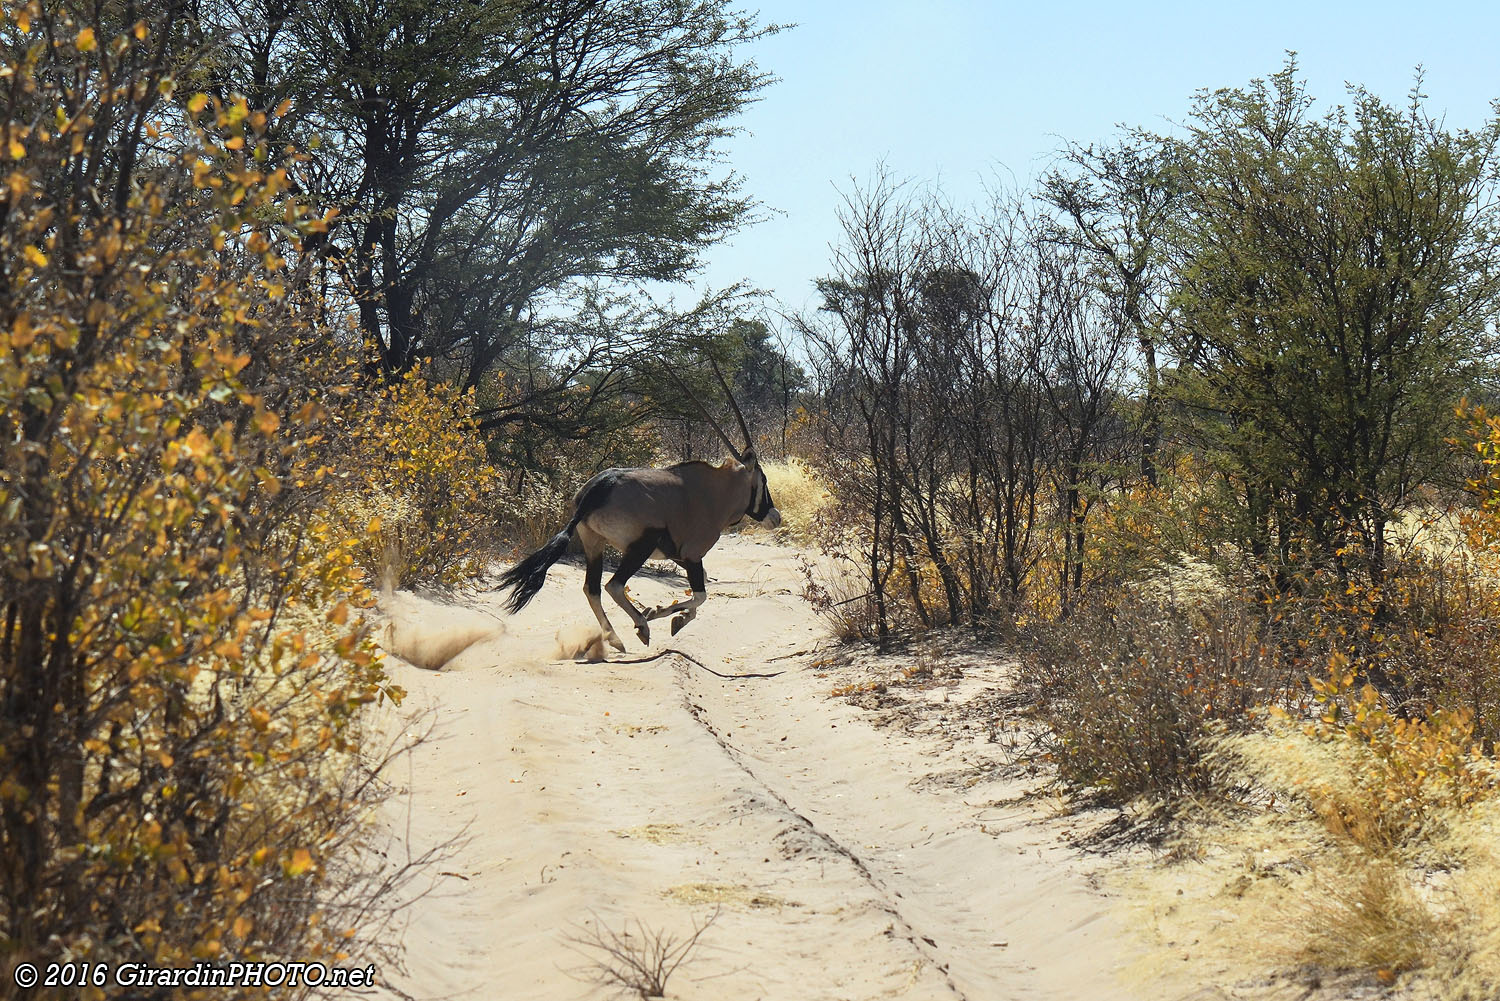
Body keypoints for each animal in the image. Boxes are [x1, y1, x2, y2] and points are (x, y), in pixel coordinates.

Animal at [504, 364, 786, 654]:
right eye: (763, 481)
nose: (775, 517)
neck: (716, 491)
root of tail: (601, 486)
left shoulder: (679, 555)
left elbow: (701, 592)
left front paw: (676, 618)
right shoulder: (692, 554)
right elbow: (701, 595)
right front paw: (659, 613)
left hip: (594, 543)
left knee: (592, 588)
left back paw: (615, 638)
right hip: (640, 546)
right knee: (614, 585)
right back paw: (641, 626)